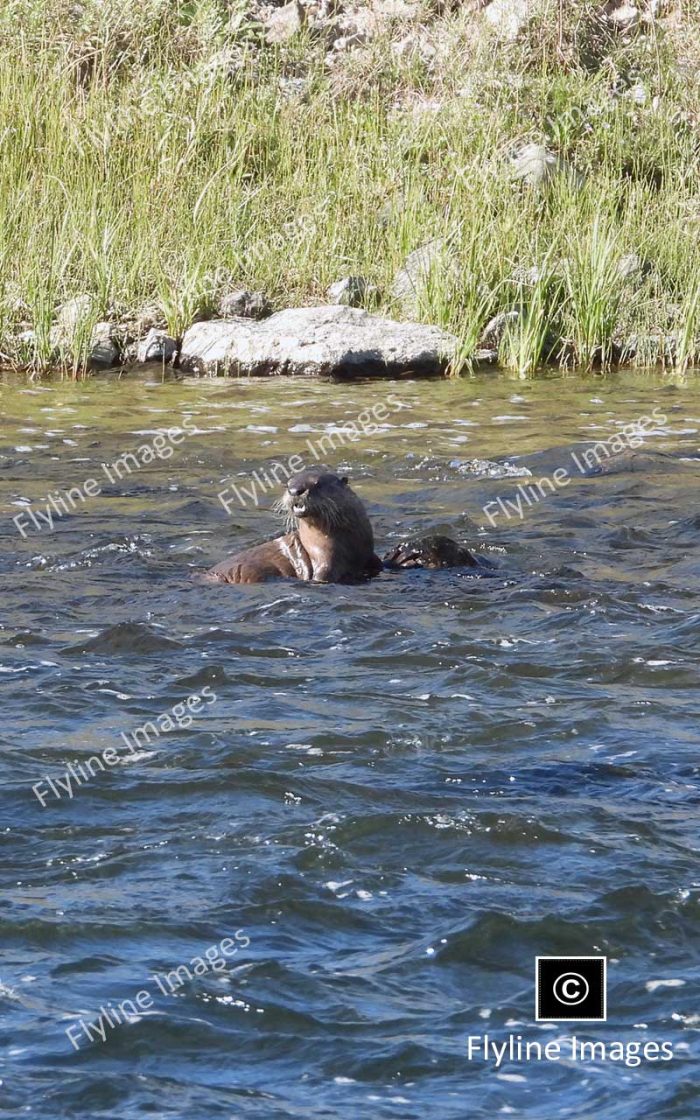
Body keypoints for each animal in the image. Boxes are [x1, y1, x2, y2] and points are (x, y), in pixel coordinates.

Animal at [199, 468, 477, 586]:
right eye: (288, 483)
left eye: (316, 483)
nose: (295, 490)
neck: (347, 543)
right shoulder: (323, 563)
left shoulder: (368, 555)